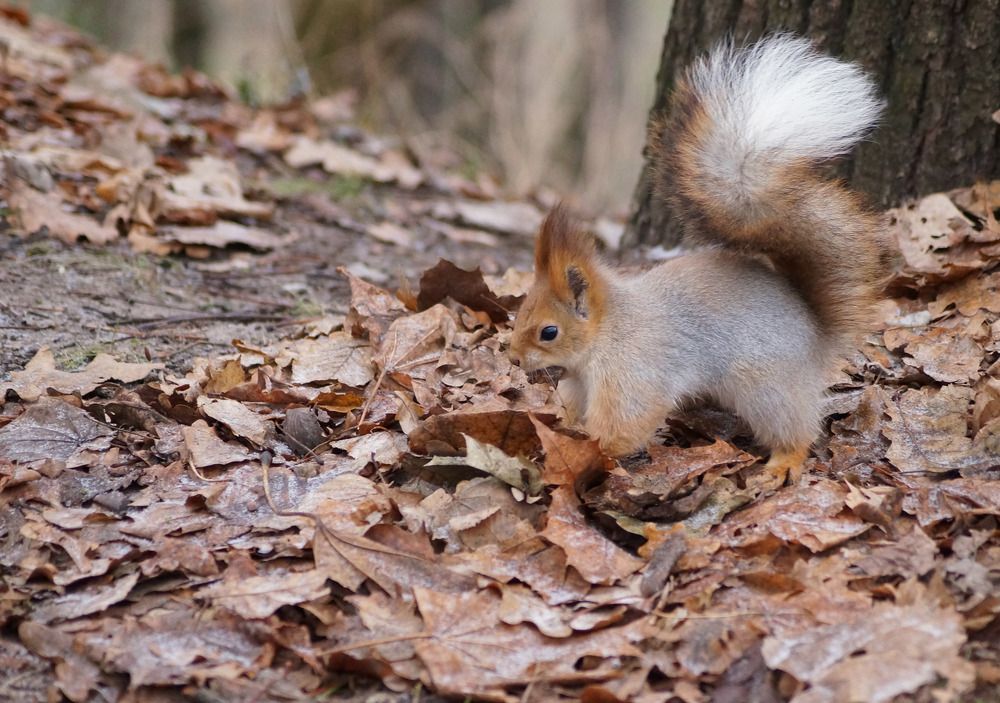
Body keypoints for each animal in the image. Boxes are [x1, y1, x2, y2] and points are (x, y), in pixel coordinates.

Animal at [508, 35, 885, 480]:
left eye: (549, 331)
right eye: (521, 309)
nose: (513, 358)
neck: (609, 331)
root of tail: (817, 333)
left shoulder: (633, 371)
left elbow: (624, 424)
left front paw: (591, 450)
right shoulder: (582, 381)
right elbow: (572, 405)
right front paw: (563, 429)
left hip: (765, 388)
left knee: (796, 429)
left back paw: (783, 462)